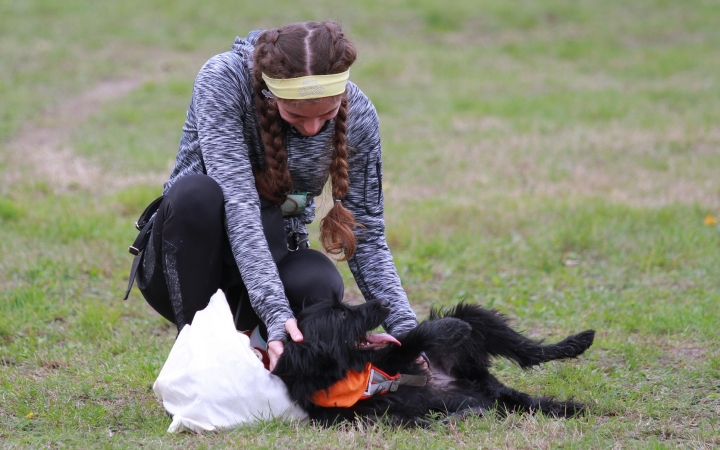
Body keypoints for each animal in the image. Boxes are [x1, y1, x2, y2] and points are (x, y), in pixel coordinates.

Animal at [272, 298, 592, 426]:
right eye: (340, 314)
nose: (385, 303)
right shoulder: (371, 417)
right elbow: (414, 421)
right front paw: (455, 419)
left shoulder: (396, 355)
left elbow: (415, 337)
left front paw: (450, 328)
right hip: (493, 393)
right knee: (518, 399)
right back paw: (566, 407)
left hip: (478, 318)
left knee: (529, 352)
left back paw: (577, 341)